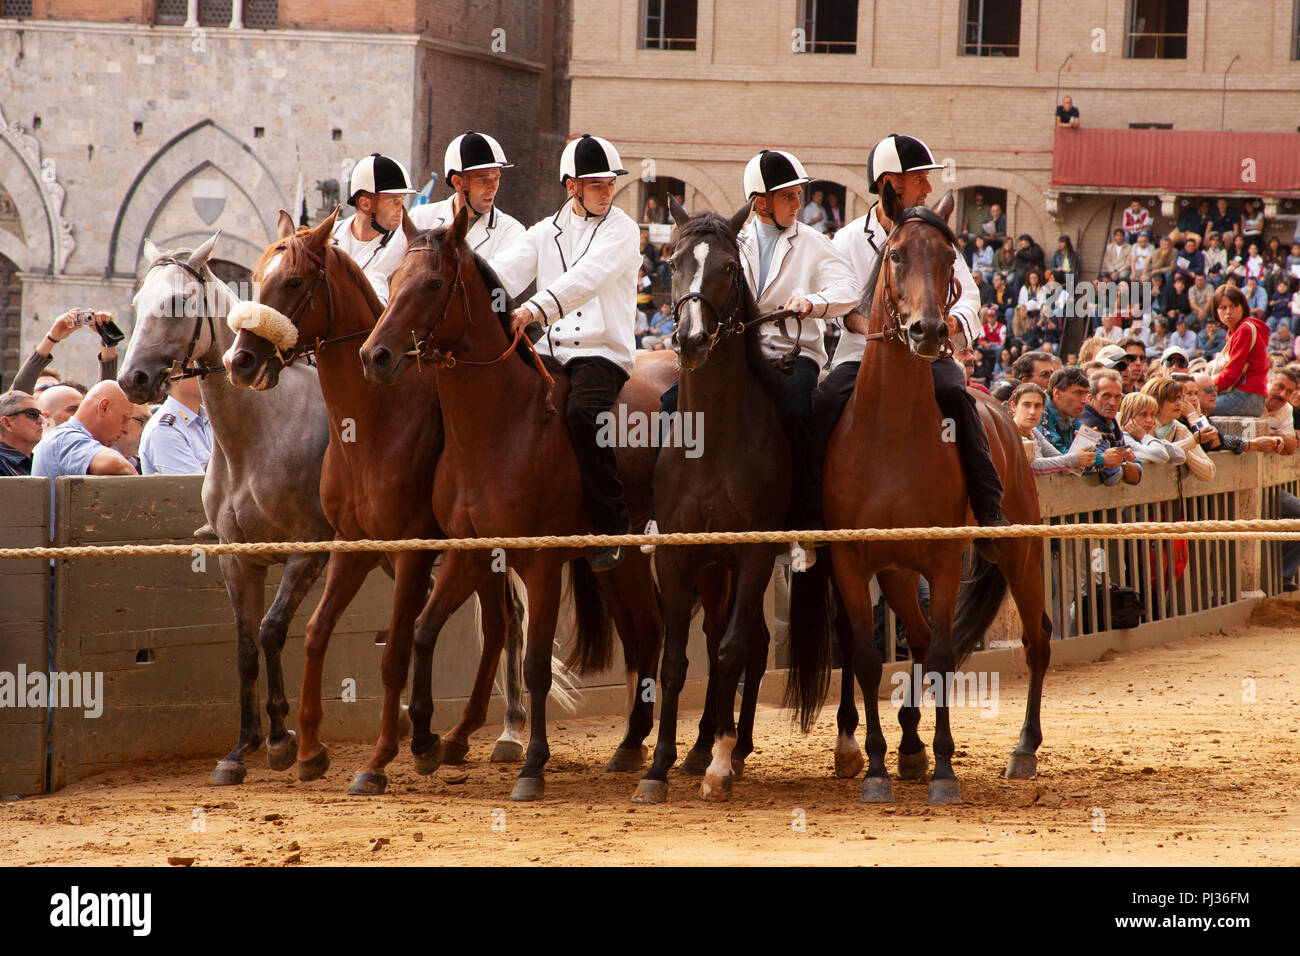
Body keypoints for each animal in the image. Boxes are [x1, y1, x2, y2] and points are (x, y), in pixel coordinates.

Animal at [118, 233, 333, 787]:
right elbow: (245, 645)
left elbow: (272, 630)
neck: (258, 435)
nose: (133, 380)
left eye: (178, 302)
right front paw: (245, 747)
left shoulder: (309, 551)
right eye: (137, 303)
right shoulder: (238, 559)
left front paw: (283, 740)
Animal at [223, 208, 569, 795]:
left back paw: (495, 735)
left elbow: (397, 652)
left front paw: (382, 756)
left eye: (292, 281)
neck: (375, 424)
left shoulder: (411, 552)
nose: (241, 360)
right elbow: (315, 634)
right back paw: (460, 734)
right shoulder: (351, 545)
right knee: (500, 624)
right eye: (255, 275)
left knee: (508, 624)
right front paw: (310, 749)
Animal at [358, 206, 675, 801]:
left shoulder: (542, 564)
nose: (375, 356)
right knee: (645, 632)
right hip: (619, 567)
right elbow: (424, 630)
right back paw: (629, 745)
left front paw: (532, 766)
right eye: (393, 280)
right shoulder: (472, 552)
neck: (505, 426)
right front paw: (426, 742)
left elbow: (534, 667)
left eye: (432, 283)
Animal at [631, 199, 805, 804]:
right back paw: (707, 744)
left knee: (749, 644)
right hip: (714, 569)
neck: (712, 443)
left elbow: (730, 654)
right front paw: (659, 766)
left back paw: (736, 745)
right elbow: (677, 660)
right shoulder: (679, 554)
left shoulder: (753, 554)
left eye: (729, 268)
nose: (690, 338)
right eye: (673, 262)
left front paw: (720, 768)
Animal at [790, 187, 1052, 806]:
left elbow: (939, 657)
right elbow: (868, 657)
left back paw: (1022, 749)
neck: (891, 433)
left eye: (949, 257)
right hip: (896, 572)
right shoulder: (854, 559)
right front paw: (878, 769)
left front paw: (944, 772)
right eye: (896, 255)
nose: (929, 331)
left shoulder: (942, 559)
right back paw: (911, 746)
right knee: (921, 633)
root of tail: (1005, 414)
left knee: (1036, 639)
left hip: (1019, 553)